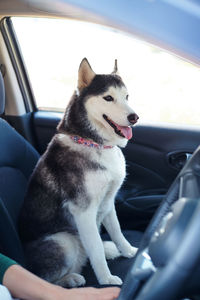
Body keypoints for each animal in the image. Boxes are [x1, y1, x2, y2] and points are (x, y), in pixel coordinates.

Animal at [19, 58, 139, 286]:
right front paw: (106, 279)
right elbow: (96, 249)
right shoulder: (83, 211)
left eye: (127, 96)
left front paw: (129, 251)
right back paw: (71, 278)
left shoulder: (108, 201)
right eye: (108, 98)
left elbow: (117, 231)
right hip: (63, 240)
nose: (134, 116)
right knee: (40, 279)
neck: (94, 143)